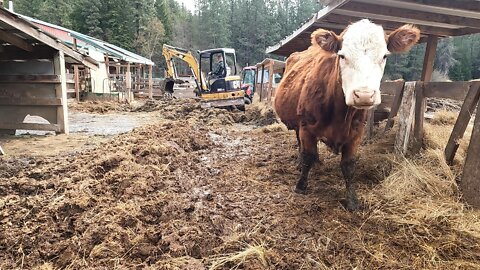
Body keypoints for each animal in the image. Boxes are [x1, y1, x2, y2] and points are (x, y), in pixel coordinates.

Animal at [274, 20, 420, 212]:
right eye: (342, 56)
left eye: (384, 56)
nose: (364, 95)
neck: (340, 114)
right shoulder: (306, 126)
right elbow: (307, 156)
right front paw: (300, 186)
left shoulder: (356, 133)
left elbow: (348, 165)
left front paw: (352, 200)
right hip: (299, 125)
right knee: (301, 145)